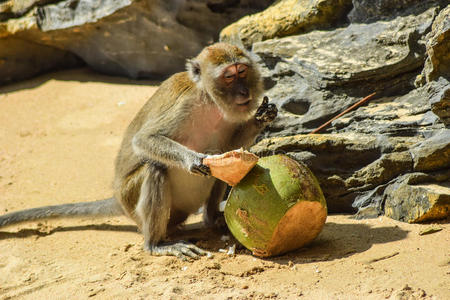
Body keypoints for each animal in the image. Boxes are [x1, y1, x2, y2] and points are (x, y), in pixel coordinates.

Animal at [0, 42, 278, 260]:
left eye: (242, 71)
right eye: (229, 77)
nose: (244, 92)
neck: (209, 100)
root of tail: (117, 199)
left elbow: (230, 149)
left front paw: (261, 117)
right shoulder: (185, 104)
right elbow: (145, 139)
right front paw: (193, 159)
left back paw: (212, 219)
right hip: (132, 199)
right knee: (156, 168)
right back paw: (155, 244)